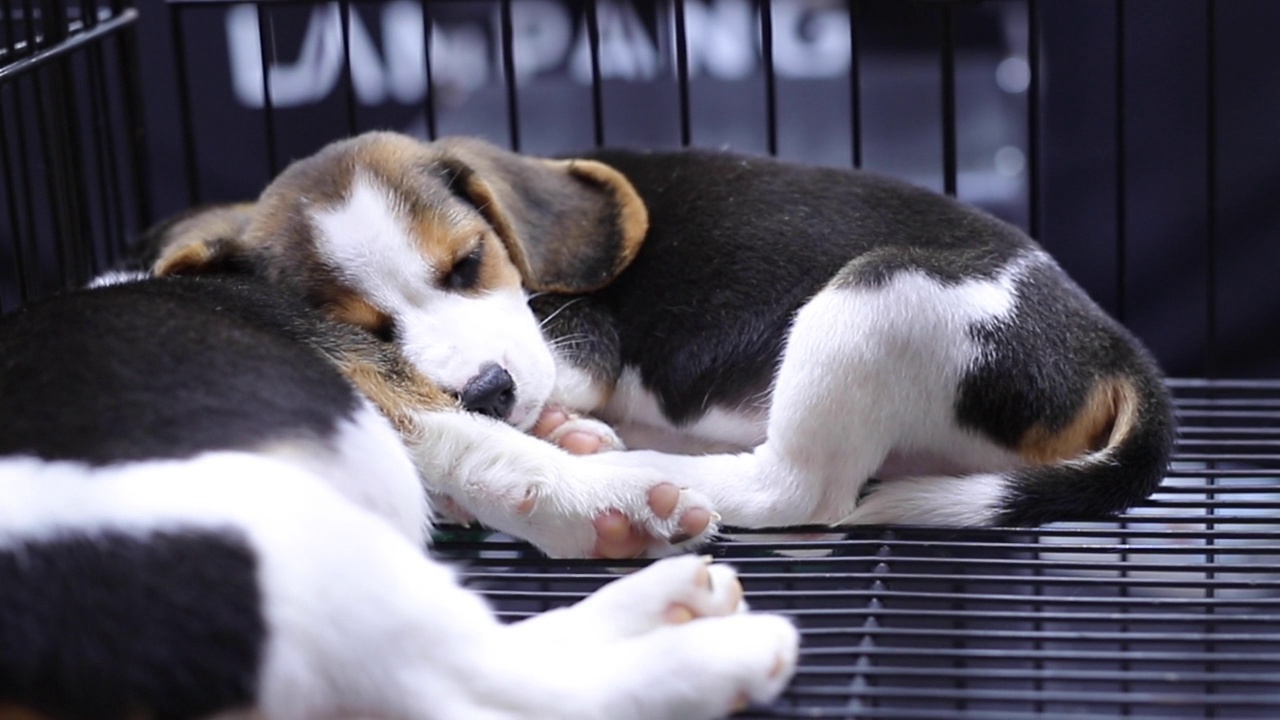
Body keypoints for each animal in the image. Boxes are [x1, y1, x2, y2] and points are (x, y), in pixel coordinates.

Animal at [0, 270, 793, 717]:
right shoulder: (372, 374)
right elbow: (471, 435)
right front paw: (617, 497)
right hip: (290, 547)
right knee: (490, 686)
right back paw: (718, 651)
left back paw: (670, 603)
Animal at [147, 131, 1172, 548]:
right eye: (363, 328)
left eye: (470, 262)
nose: (486, 394)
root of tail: (1114, 350)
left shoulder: (571, 342)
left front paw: (548, 426)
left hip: (878, 295)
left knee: (799, 489)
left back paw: (638, 471)